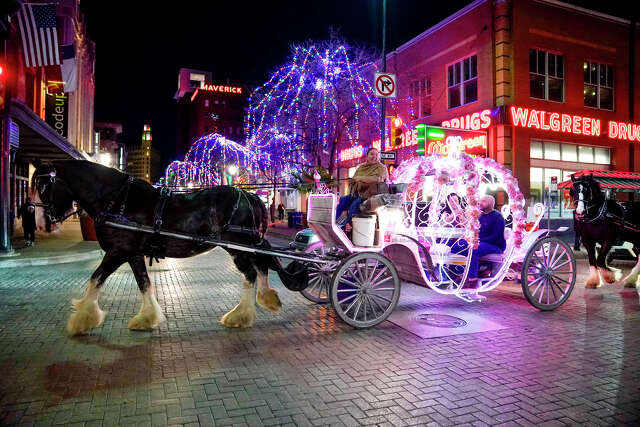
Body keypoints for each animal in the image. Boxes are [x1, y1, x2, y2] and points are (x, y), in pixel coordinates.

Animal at [31, 160, 306, 334]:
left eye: (44, 186)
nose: (47, 220)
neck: (118, 200)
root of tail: (249, 195)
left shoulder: (118, 251)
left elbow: (95, 278)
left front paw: (81, 320)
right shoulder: (133, 254)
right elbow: (144, 283)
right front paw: (147, 318)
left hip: (238, 246)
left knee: (252, 272)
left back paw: (241, 315)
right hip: (245, 246)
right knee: (260, 268)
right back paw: (262, 302)